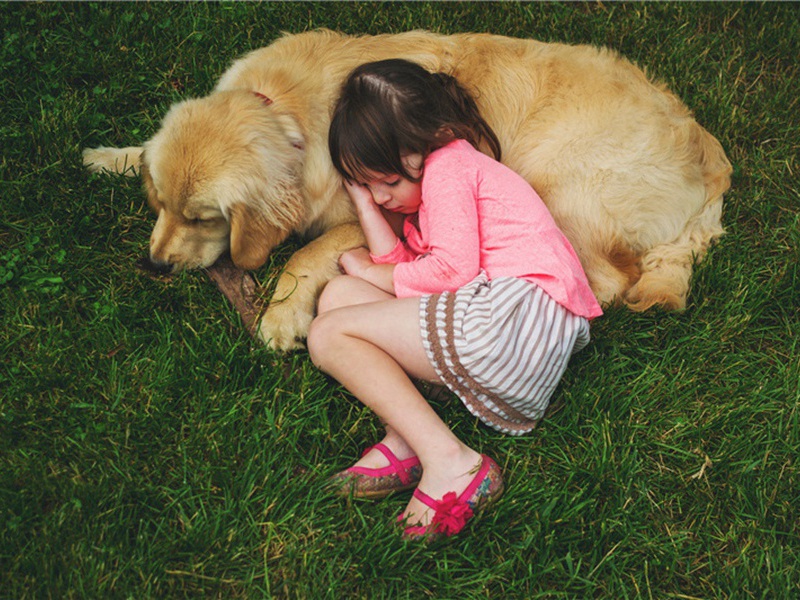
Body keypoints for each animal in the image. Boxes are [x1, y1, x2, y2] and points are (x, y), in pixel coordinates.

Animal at [83, 30, 732, 352]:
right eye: (161, 206)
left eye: (204, 218)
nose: (154, 265)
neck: (285, 107)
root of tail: (712, 162)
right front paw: (110, 156)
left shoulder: (391, 209)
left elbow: (308, 249)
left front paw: (282, 313)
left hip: (552, 179)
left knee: (606, 281)